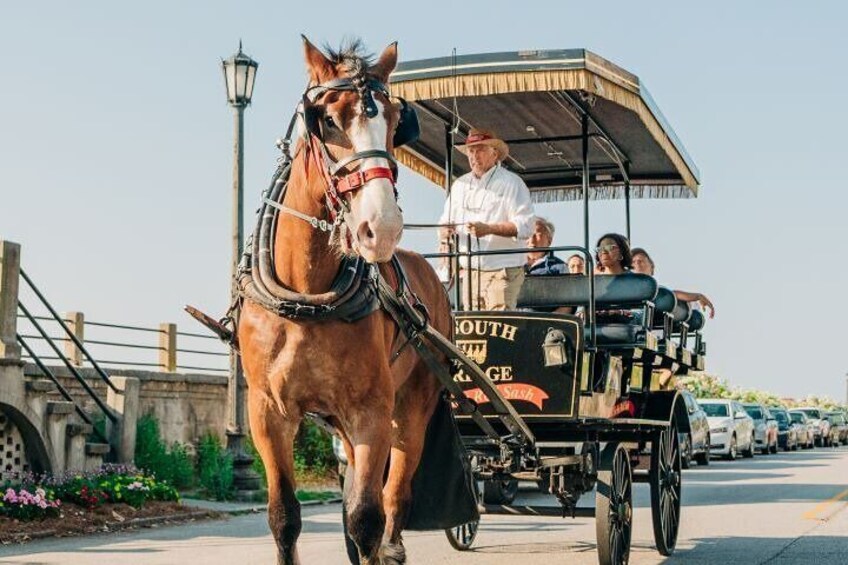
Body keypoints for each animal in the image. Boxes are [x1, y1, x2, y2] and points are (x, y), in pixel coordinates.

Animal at [237, 37, 450, 560]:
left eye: (395, 123)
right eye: (329, 121)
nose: (383, 227)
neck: (307, 298)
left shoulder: (371, 411)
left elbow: (366, 518)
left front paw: (376, 544)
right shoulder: (267, 414)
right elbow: (285, 518)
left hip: (412, 407)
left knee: (394, 495)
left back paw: (394, 547)